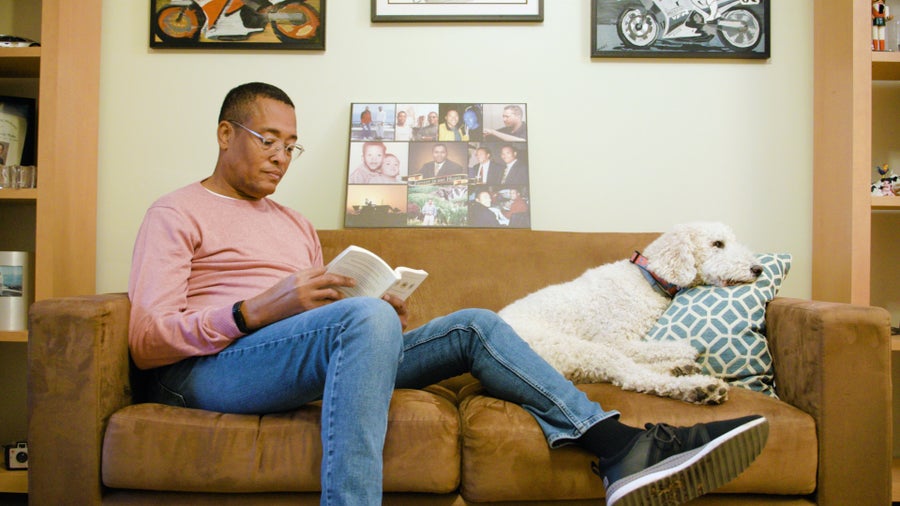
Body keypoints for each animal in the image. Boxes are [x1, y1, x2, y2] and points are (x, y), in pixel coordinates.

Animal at [500, 223, 760, 406]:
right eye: (717, 244)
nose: (758, 269)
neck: (648, 277)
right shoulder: (614, 340)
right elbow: (675, 347)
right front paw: (684, 350)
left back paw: (680, 370)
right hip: (581, 350)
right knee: (634, 377)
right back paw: (699, 388)